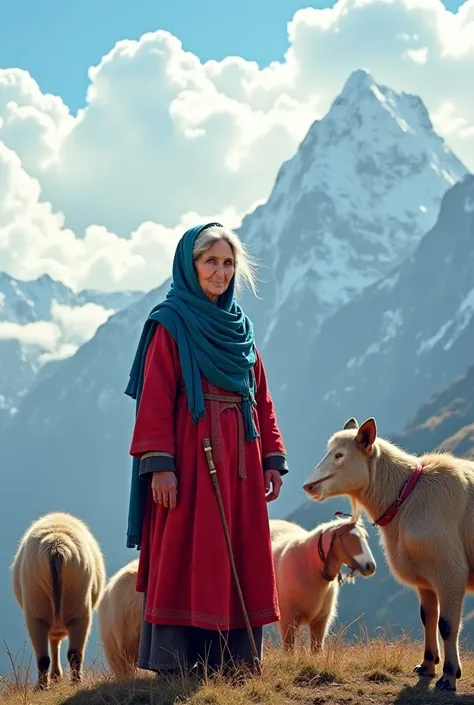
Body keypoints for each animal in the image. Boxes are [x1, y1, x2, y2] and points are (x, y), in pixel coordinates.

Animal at [10, 512, 105, 688]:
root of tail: (56, 546)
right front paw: (56, 675)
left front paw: (55, 675)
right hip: (75, 609)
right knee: (71, 654)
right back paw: (67, 682)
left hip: (38, 611)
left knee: (48, 656)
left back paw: (46, 685)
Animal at [304, 416, 474, 692]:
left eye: (339, 454)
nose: (309, 486)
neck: (408, 498)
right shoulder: (425, 578)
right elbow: (428, 618)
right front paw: (427, 666)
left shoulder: (450, 573)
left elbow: (447, 625)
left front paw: (449, 676)